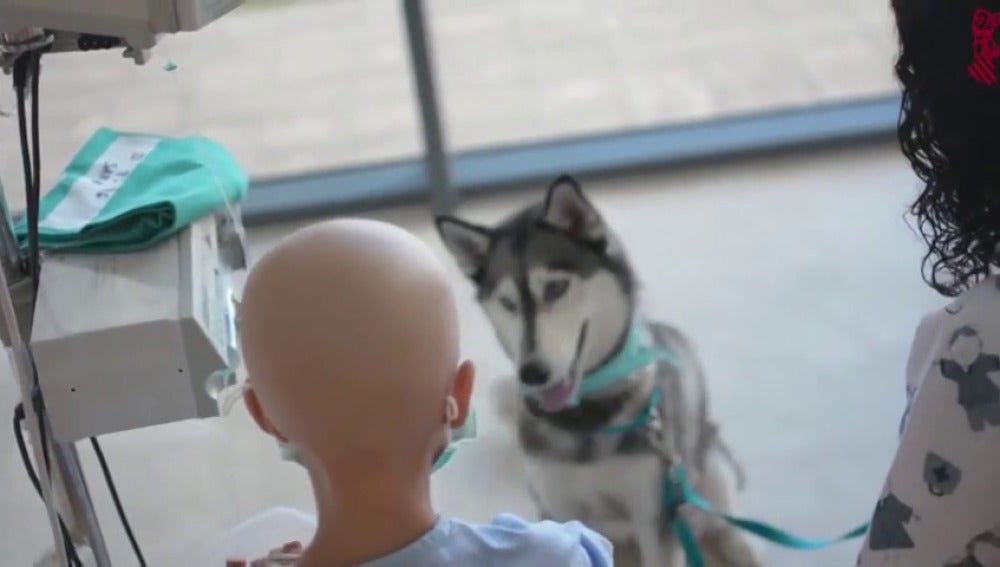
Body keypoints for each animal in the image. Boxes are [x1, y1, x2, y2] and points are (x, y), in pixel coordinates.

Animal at [436, 175, 756, 564]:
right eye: (508, 303)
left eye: (556, 287)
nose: (532, 373)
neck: (583, 418)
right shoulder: (558, 508)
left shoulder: (655, 512)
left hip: (705, 467)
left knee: (719, 520)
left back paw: (738, 546)